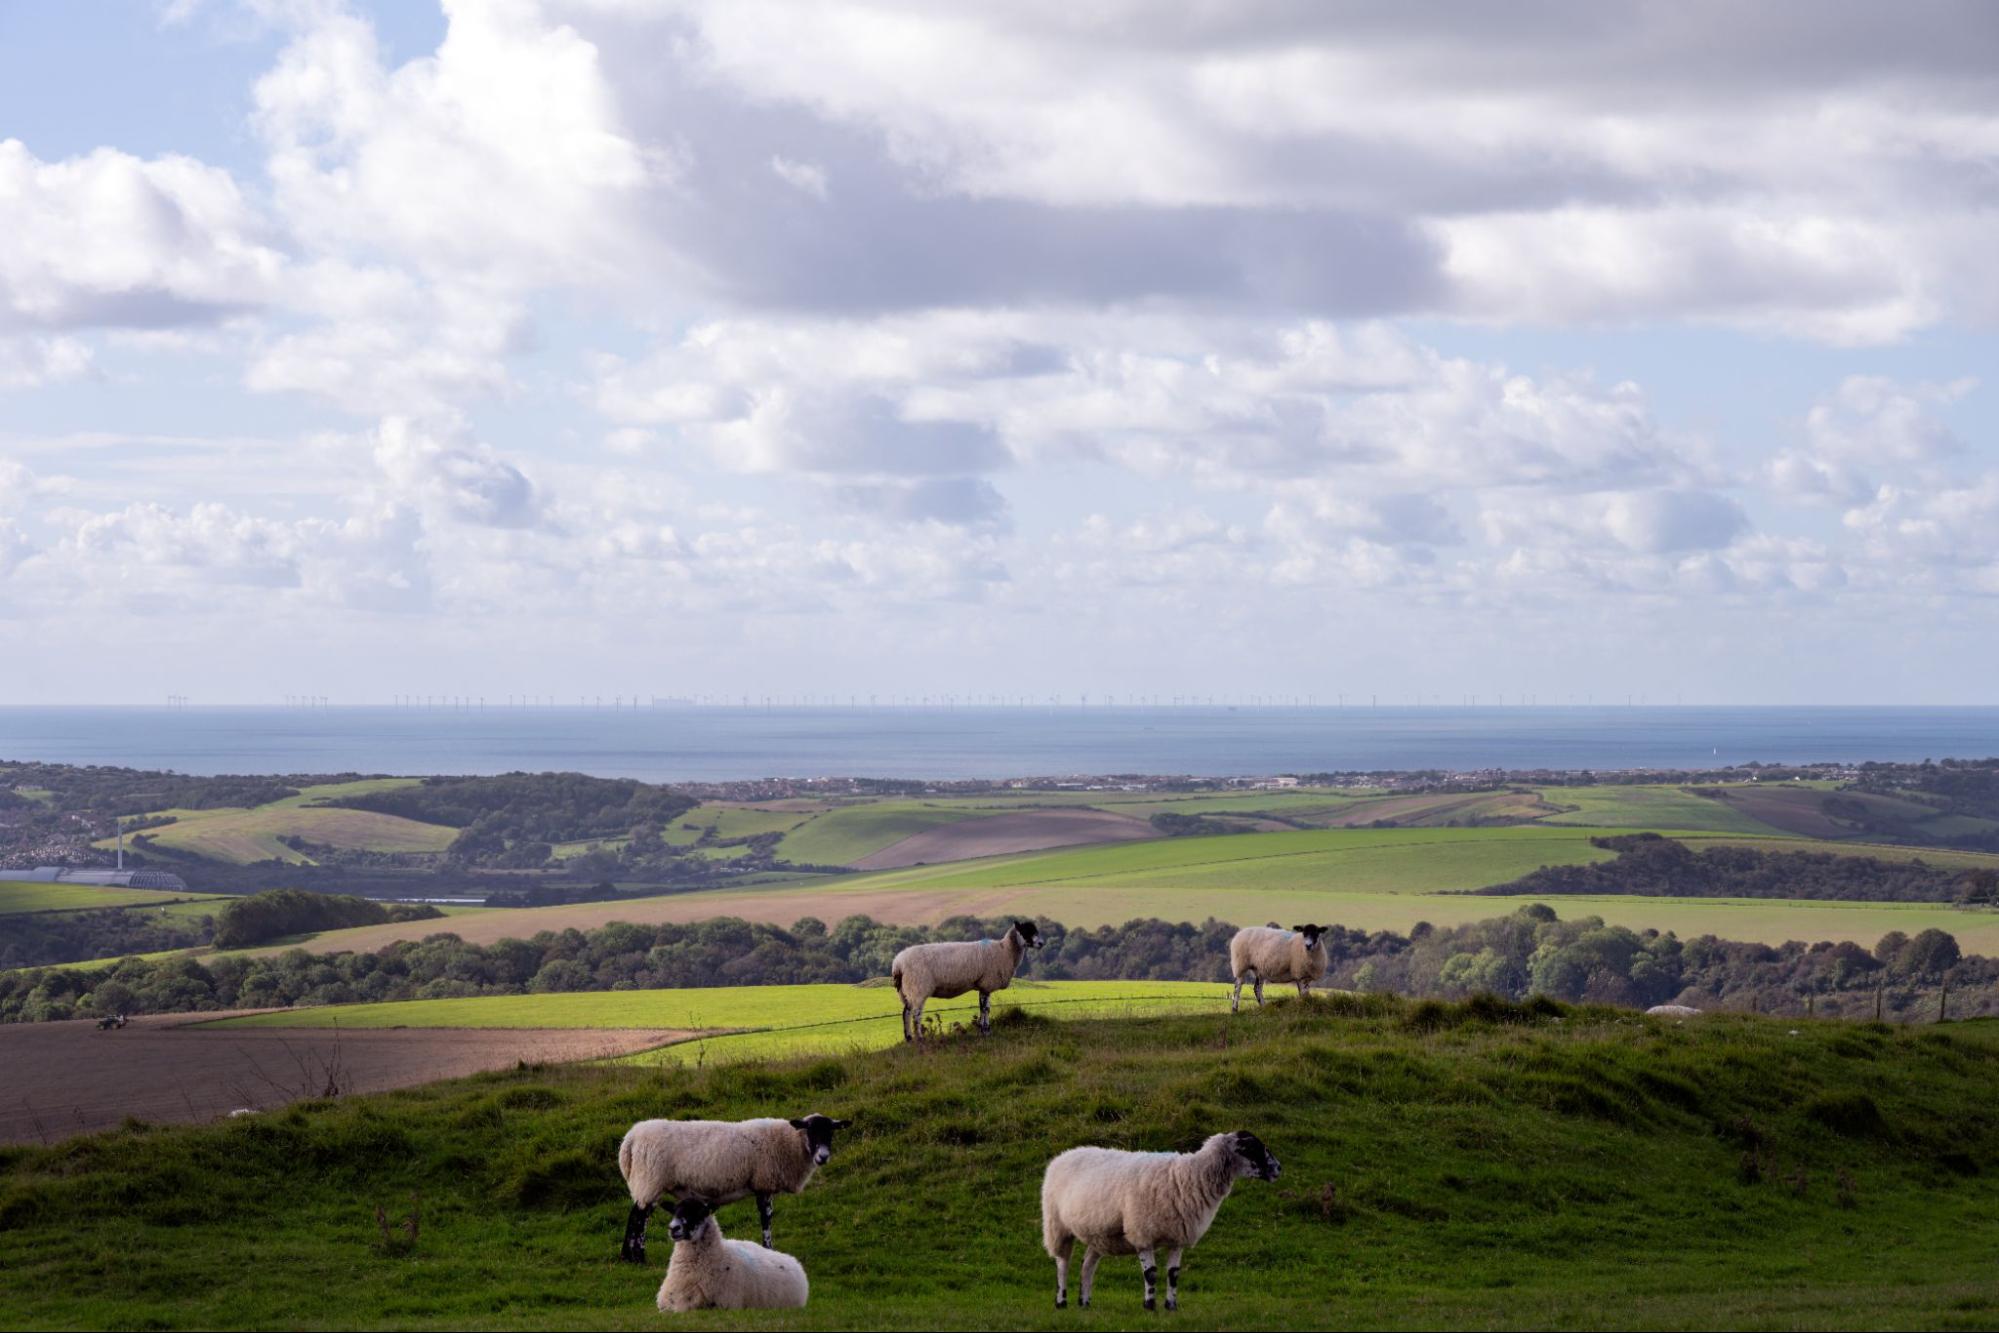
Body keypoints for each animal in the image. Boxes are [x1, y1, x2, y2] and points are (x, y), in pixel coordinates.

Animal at [615, 1111, 851, 1271]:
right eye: (810, 1131)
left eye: (831, 1133)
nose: (823, 1157)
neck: (789, 1143)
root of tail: (629, 1140)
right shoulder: (763, 1183)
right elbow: (766, 1218)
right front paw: (769, 1249)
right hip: (650, 1180)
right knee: (640, 1217)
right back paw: (639, 1258)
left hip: (646, 1182)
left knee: (635, 1215)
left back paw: (627, 1257)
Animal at [655, 1199, 811, 1311]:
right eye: (674, 1211)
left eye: (701, 1212)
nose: (673, 1228)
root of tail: (795, 1261)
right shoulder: (667, 1304)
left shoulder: (724, 1305)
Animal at [895, 919, 1047, 1039]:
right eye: (1026, 931)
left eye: (1035, 930)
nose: (1041, 943)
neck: (1005, 950)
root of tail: (898, 962)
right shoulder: (987, 983)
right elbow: (985, 1009)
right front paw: (985, 1031)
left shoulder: (983, 985)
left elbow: (983, 1008)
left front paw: (985, 1030)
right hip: (918, 987)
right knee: (916, 1014)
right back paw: (920, 1038)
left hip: (906, 990)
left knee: (906, 1013)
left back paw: (909, 1038)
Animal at [1047, 1127, 1279, 1311]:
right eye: (1251, 1148)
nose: (1278, 1168)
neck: (1188, 1177)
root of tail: (1065, 1154)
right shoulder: (1142, 1234)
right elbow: (1150, 1273)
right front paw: (1149, 1306)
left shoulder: (1178, 1237)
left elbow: (1173, 1275)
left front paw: (1171, 1306)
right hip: (1057, 1226)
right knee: (1062, 1264)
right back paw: (1061, 1301)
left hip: (1098, 1235)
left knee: (1087, 1265)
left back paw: (1084, 1303)